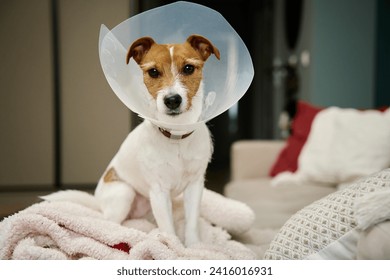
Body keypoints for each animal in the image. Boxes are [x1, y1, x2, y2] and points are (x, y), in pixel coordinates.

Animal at [95, 34, 221, 245]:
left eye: (188, 68)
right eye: (153, 72)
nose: (172, 100)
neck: (176, 135)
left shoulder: (195, 186)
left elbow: (192, 222)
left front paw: (194, 246)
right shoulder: (159, 191)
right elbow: (168, 228)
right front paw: (172, 246)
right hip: (124, 193)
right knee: (107, 223)